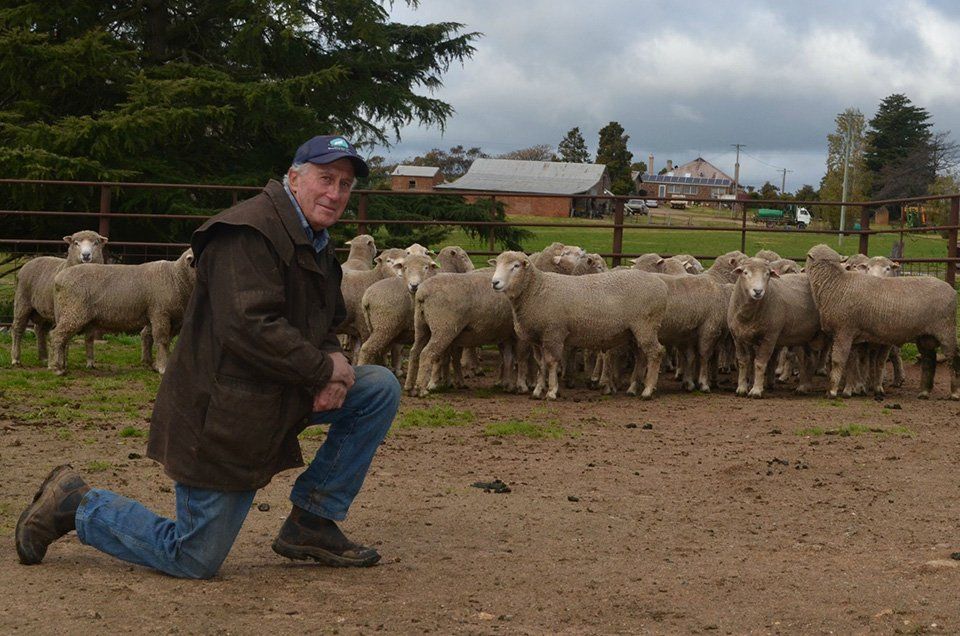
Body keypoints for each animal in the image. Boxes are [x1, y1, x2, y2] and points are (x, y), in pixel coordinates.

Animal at [11, 230, 108, 366]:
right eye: (76, 243)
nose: (86, 255)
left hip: (45, 309)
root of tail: (31, 261)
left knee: (40, 330)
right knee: (17, 328)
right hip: (22, 301)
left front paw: (90, 362)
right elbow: (65, 335)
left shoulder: (92, 312)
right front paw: (63, 361)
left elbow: (89, 337)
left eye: (96, 243)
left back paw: (44, 357)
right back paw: (15, 359)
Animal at [47, 249, 196, 375]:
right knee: (57, 335)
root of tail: (58, 279)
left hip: (68, 311)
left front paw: (150, 363)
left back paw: (61, 364)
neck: (176, 278)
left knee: (64, 338)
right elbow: (162, 340)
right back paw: (56, 368)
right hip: (74, 310)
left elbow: (149, 337)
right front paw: (162, 367)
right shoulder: (160, 313)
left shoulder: (161, 315)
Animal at [491, 251, 667, 400]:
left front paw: (552, 391)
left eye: (515, 266)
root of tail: (660, 284)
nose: (494, 282)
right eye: (497, 264)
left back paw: (647, 390)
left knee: (656, 353)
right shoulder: (537, 338)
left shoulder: (553, 333)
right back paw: (633, 388)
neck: (537, 289)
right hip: (634, 331)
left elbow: (551, 362)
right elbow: (541, 364)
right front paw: (537, 390)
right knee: (642, 356)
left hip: (646, 325)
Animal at [727, 258, 825, 397]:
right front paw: (742, 388)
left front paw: (756, 390)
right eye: (745, 273)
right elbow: (744, 362)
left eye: (767, 274)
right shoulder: (738, 338)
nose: (758, 291)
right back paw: (804, 386)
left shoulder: (770, 337)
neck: (748, 315)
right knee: (809, 360)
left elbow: (760, 363)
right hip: (807, 335)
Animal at [805, 244, 959, 400]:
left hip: (946, 329)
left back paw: (954, 392)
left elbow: (838, 361)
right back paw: (924, 392)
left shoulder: (844, 330)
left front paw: (832, 391)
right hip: (925, 336)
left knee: (953, 357)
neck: (835, 284)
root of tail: (952, 289)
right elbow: (855, 362)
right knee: (928, 360)